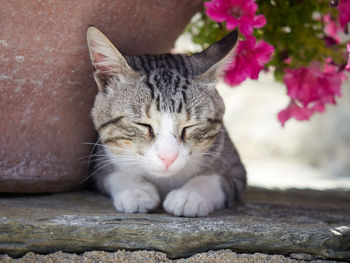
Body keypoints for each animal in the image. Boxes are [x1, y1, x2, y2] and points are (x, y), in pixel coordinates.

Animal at [86, 25, 247, 218]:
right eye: (143, 125)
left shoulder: (234, 167)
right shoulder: (100, 161)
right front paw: (136, 191)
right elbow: (111, 174)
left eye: (189, 126)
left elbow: (217, 179)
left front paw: (190, 195)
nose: (168, 157)